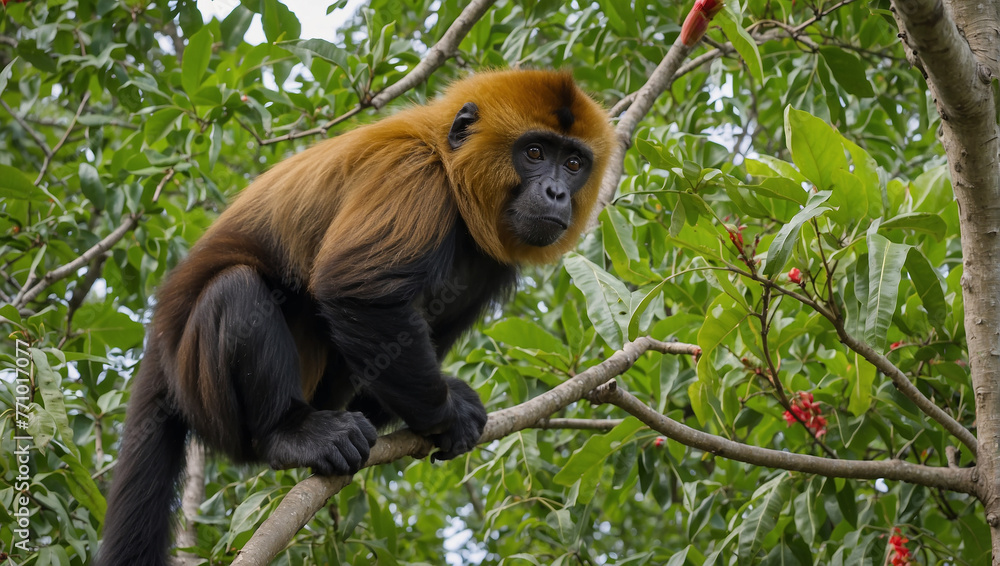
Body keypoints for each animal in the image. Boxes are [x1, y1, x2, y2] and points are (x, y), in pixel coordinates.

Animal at [95, 69, 613, 566]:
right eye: (534, 152)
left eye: (573, 164)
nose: (557, 192)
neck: (450, 167)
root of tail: (162, 350)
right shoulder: (413, 176)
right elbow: (357, 290)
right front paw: (447, 413)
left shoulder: (489, 262)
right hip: (204, 391)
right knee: (237, 288)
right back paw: (289, 432)